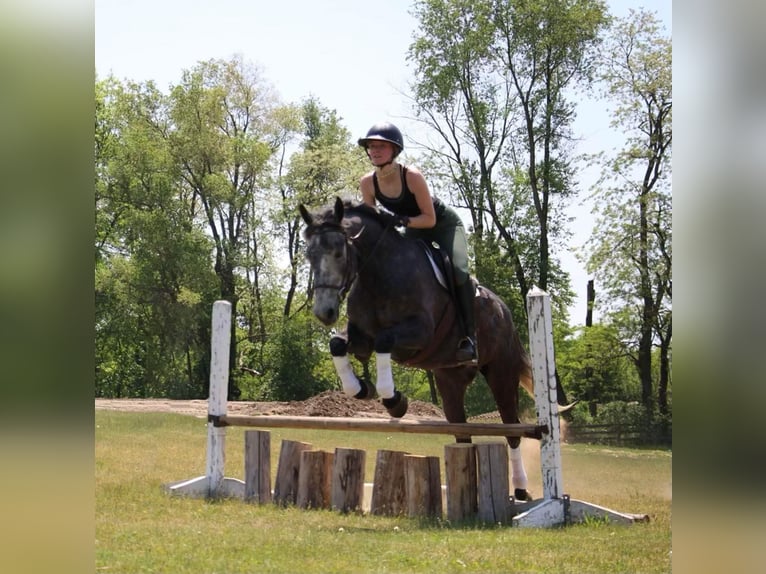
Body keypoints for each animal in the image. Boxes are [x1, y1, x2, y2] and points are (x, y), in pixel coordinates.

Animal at [300, 197, 568, 500]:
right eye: (309, 255)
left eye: (337, 252)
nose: (324, 312)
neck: (378, 272)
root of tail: (504, 310)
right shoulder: (360, 336)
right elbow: (337, 344)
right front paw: (360, 389)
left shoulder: (420, 333)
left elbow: (383, 342)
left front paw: (395, 402)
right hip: (450, 380)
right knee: (462, 433)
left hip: (501, 373)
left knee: (512, 429)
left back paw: (521, 488)